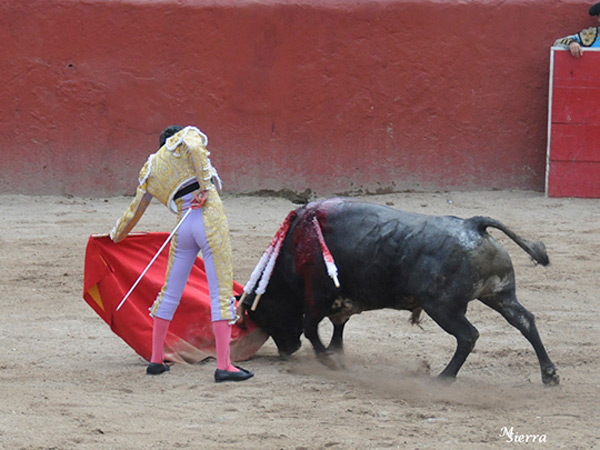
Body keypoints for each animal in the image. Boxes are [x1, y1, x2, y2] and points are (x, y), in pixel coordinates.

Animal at [238, 199, 556, 384]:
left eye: (264, 312)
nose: (286, 351)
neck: (294, 249)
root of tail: (473, 225)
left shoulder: (317, 296)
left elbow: (311, 328)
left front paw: (329, 360)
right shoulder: (342, 300)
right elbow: (338, 326)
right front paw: (337, 353)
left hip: (443, 307)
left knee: (468, 335)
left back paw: (443, 378)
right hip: (500, 295)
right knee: (525, 321)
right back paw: (549, 374)